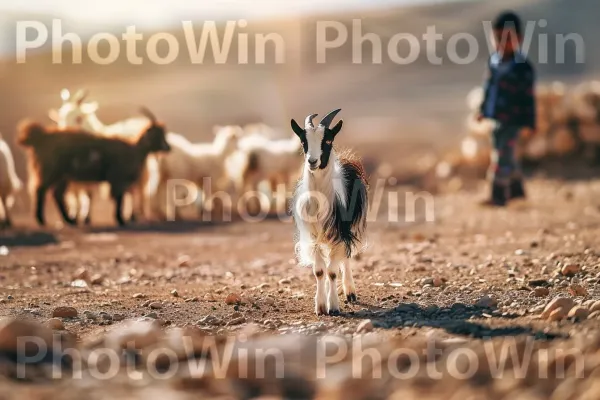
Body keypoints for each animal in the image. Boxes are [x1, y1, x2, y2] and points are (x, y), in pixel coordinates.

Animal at [17, 108, 170, 228]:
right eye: (158, 134)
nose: (168, 147)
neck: (134, 149)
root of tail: (41, 137)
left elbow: (120, 198)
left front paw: (121, 219)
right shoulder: (117, 178)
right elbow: (119, 198)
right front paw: (121, 220)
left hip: (62, 175)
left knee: (57, 194)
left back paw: (70, 220)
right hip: (49, 170)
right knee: (41, 190)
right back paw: (42, 220)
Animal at [290, 108, 368, 316]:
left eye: (327, 141)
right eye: (304, 141)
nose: (313, 161)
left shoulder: (340, 234)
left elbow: (332, 271)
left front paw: (333, 306)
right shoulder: (313, 237)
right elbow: (319, 271)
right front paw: (321, 306)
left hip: (350, 229)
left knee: (346, 258)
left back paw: (350, 292)